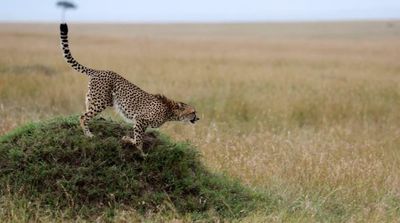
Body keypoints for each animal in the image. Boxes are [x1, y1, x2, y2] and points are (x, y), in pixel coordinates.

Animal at [58, 23, 199, 153]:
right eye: (193, 112)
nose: (198, 118)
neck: (170, 111)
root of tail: (100, 71)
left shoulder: (141, 122)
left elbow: (138, 137)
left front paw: (129, 141)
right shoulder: (140, 119)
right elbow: (138, 139)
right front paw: (139, 150)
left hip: (92, 98)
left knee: (85, 113)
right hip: (101, 101)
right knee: (83, 117)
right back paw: (88, 134)